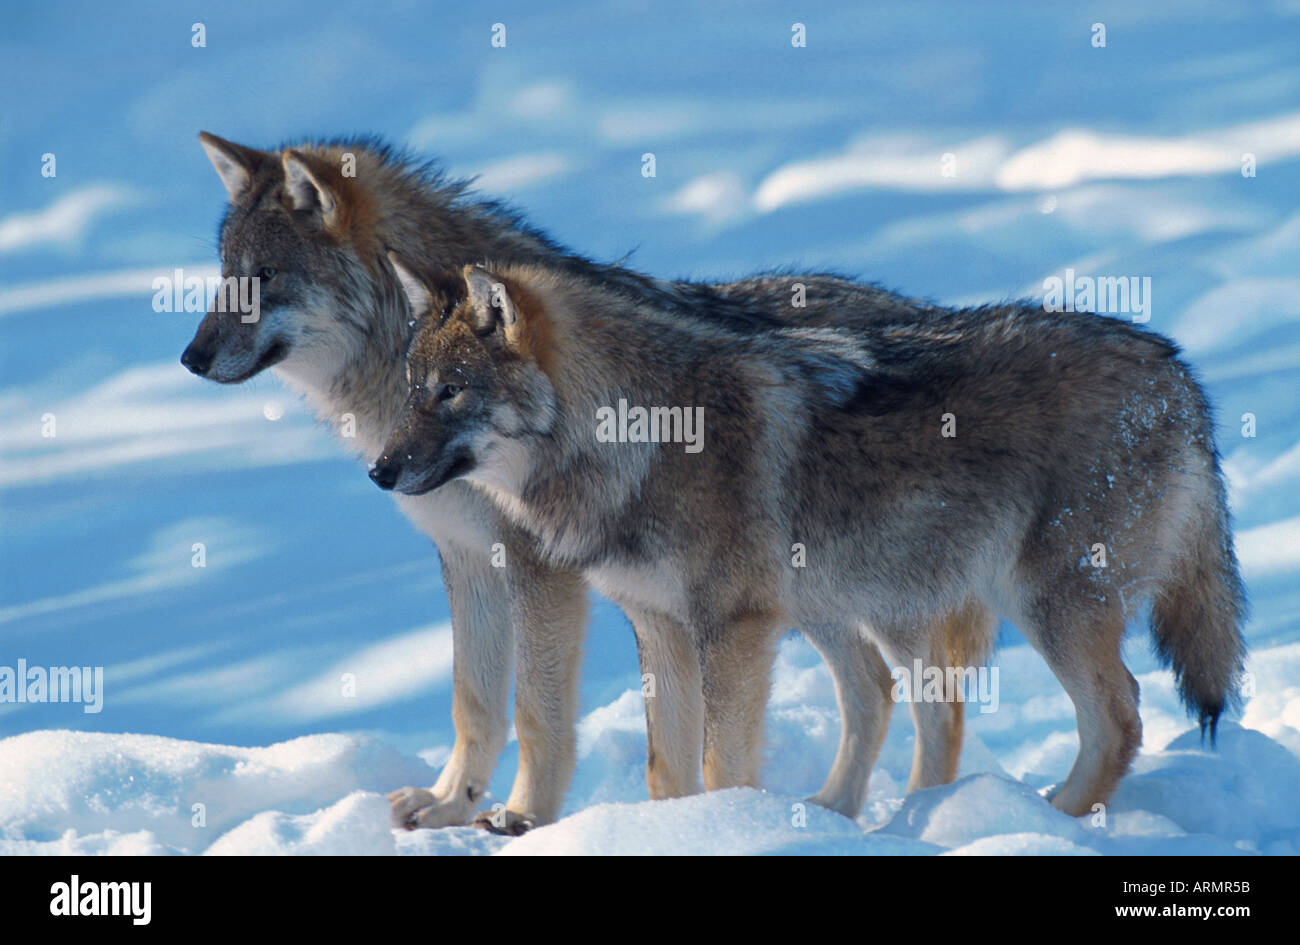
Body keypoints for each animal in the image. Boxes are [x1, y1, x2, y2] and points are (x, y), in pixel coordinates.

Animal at [181, 133, 989, 833]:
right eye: (225, 278)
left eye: (262, 278)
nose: (189, 357)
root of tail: (919, 310)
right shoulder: (467, 557)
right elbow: (472, 701)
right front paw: (449, 805)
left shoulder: (542, 569)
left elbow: (537, 711)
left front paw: (524, 818)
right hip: (807, 596)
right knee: (874, 689)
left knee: (936, 703)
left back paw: (923, 817)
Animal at [374, 258, 1246, 817]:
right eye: (412, 390)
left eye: (451, 394)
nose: (379, 469)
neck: (634, 439)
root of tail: (1178, 372)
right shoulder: (659, 625)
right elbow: (666, 770)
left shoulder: (731, 630)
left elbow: (720, 763)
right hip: (851, 605)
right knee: (897, 697)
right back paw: (859, 817)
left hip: (1040, 607)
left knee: (1119, 716)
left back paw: (1048, 818)